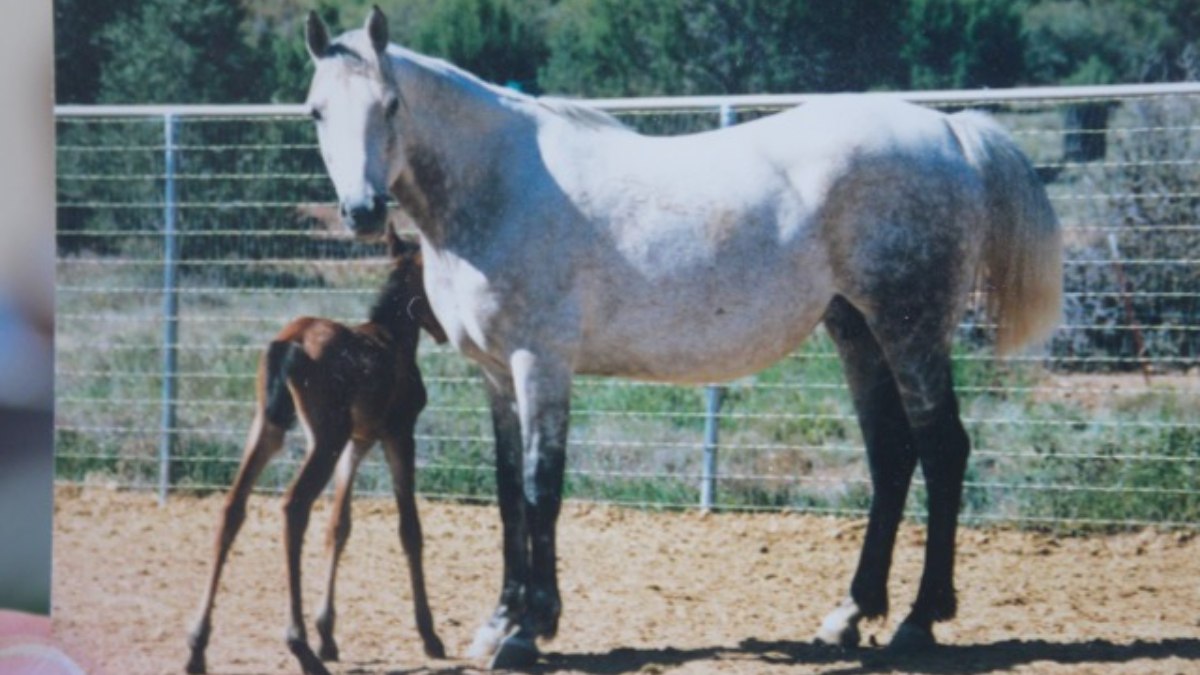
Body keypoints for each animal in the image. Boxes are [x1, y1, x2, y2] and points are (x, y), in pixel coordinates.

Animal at [297, 9, 1060, 667]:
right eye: (316, 110)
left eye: (391, 104)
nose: (362, 211)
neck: (500, 187)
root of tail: (951, 131)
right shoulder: (495, 375)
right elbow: (510, 491)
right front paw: (498, 621)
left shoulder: (540, 364)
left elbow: (542, 487)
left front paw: (530, 628)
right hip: (857, 330)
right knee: (892, 455)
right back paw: (848, 615)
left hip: (912, 329)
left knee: (943, 448)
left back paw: (918, 621)